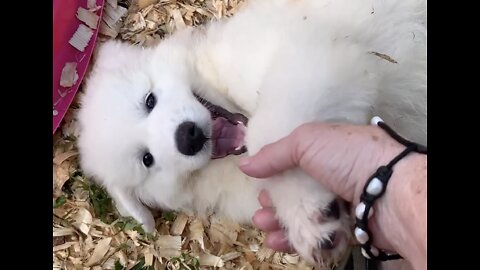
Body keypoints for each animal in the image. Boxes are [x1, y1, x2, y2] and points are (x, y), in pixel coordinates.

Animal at [77, 0, 426, 266]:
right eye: (147, 160)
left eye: (149, 101)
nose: (188, 136)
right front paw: (311, 221)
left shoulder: (309, 57)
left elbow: (268, 133)